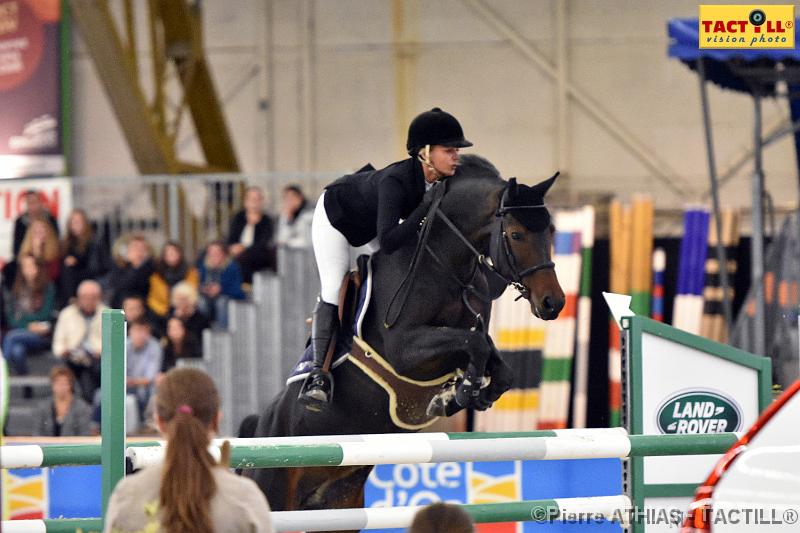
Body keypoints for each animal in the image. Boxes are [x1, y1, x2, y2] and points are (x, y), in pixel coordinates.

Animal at [247, 154, 564, 520]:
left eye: (550, 231)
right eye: (516, 234)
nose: (553, 303)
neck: (442, 264)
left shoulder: (469, 331)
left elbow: (495, 362)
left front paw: (467, 395)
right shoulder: (405, 352)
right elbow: (473, 345)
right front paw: (462, 391)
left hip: (340, 504)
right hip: (272, 491)